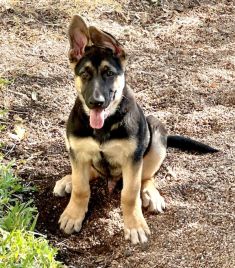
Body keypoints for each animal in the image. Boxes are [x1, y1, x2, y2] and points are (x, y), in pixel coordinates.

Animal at [53, 15, 218, 245]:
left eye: (109, 73)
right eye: (84, 74)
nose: (96, 102)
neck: (105, 125)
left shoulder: (132, 159)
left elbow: (130, 194)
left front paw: (134, 225)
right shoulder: (77, 151)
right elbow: (81, 187)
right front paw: (73, 214)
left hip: (156, 132)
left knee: (146, 178)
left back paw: (151, 195)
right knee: (89, 173)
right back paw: (67, 180)